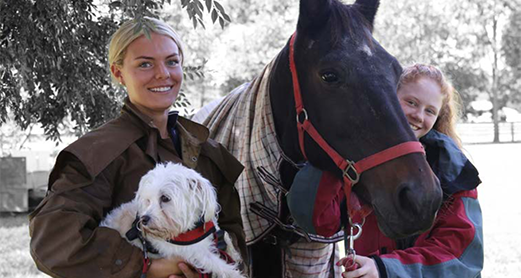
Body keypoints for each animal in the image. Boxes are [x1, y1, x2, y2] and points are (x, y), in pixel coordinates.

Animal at [101, 162, 244, 276]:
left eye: (165, 198)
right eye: (148, 200)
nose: (143, 219)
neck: (193, 228)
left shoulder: (214, 231)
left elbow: (225, 235)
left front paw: (235, 255)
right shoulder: (196, 253)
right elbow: (221, 267)